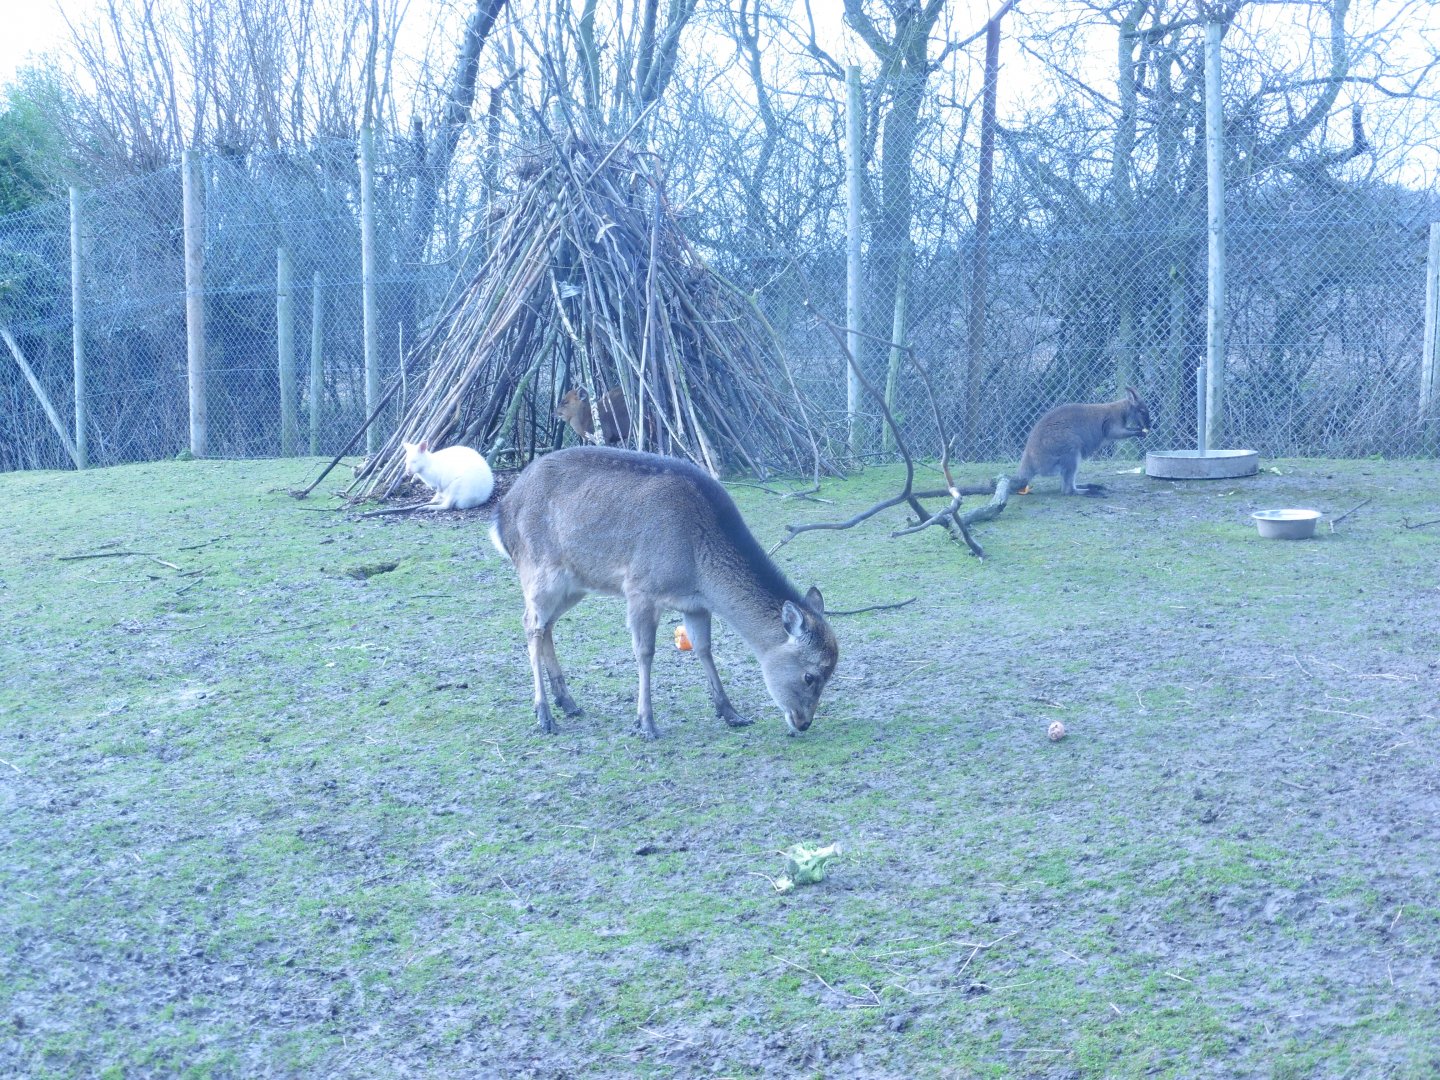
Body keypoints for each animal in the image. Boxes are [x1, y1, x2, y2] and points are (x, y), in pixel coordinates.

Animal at [489, 446, 839, 739]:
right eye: (810, 676)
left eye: (831, 672)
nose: (803, 722)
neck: (699, 566)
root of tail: (501, 515)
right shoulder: (640, 588)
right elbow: (645, 652)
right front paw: (646, 722)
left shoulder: (695, 604)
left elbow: (704, 648)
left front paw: (731, 713)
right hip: (539, 572)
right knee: (530, 623)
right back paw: (544, 715)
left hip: (575, 585)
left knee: (546, 625)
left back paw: (568, 702)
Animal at [1012, 387, 1152, 496]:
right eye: (1142, 411)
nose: (1150, 426)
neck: (1123, 410)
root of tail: (1029, 459)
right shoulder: (1112, 424)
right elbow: (1115, 433)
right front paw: (1140, 432)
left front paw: (1141, 431)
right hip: (1069, 448)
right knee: (1067, 490)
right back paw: (1090, 491)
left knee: (1065, 485)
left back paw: (1090, 486)